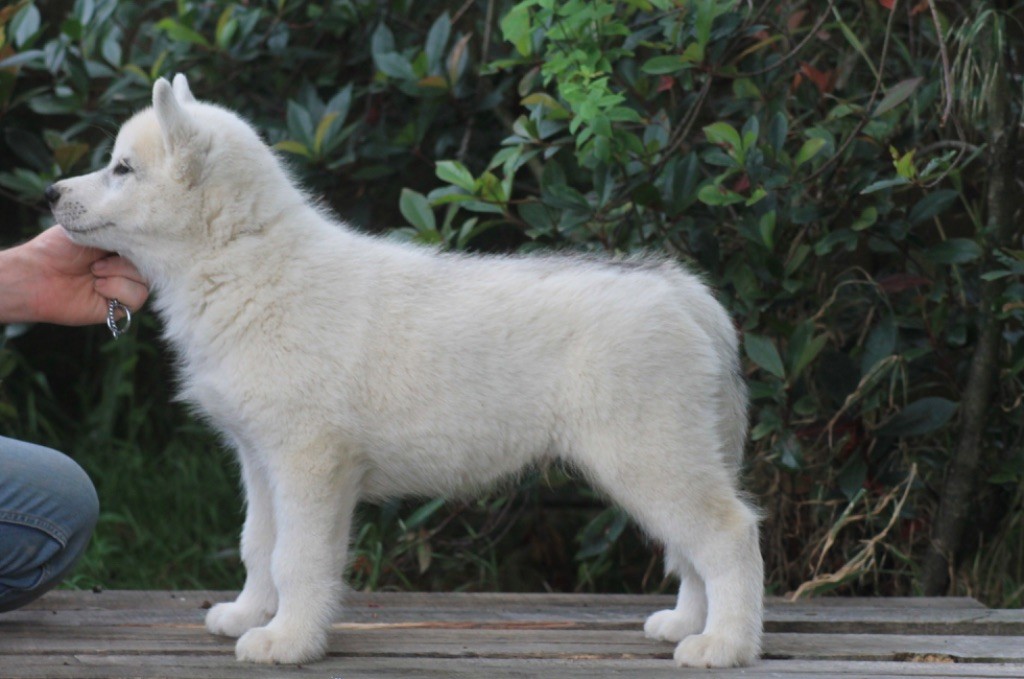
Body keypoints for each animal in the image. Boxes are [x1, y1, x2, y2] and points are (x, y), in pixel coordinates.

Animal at [51, 76, 765, 667]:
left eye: (122, 168)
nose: (51, 193)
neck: (243, 260)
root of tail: (682, 292)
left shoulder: (311, 463)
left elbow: (297, 558)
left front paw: (290, 641)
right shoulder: (259, 458)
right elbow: (259, 544)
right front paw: (251, 614)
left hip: (647, 455)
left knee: (728, 534)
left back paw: (726, 645)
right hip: (672, 453)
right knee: (693, 551)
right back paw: (687, 624)